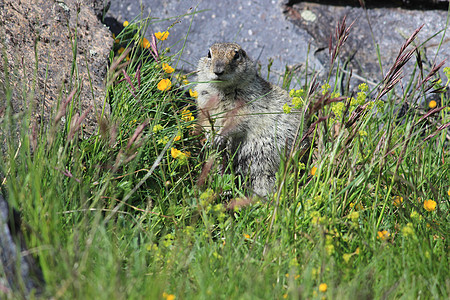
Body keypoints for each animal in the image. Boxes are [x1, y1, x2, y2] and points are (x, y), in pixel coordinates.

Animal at [195, 42, 308, 197]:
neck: (223, 90)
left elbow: (236, 123)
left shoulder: (247, 106)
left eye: (236, 55)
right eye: (209, 54)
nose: (218, 71)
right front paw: (209, 137)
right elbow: (206, 121)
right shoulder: (204, 103)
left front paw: (220, 135)